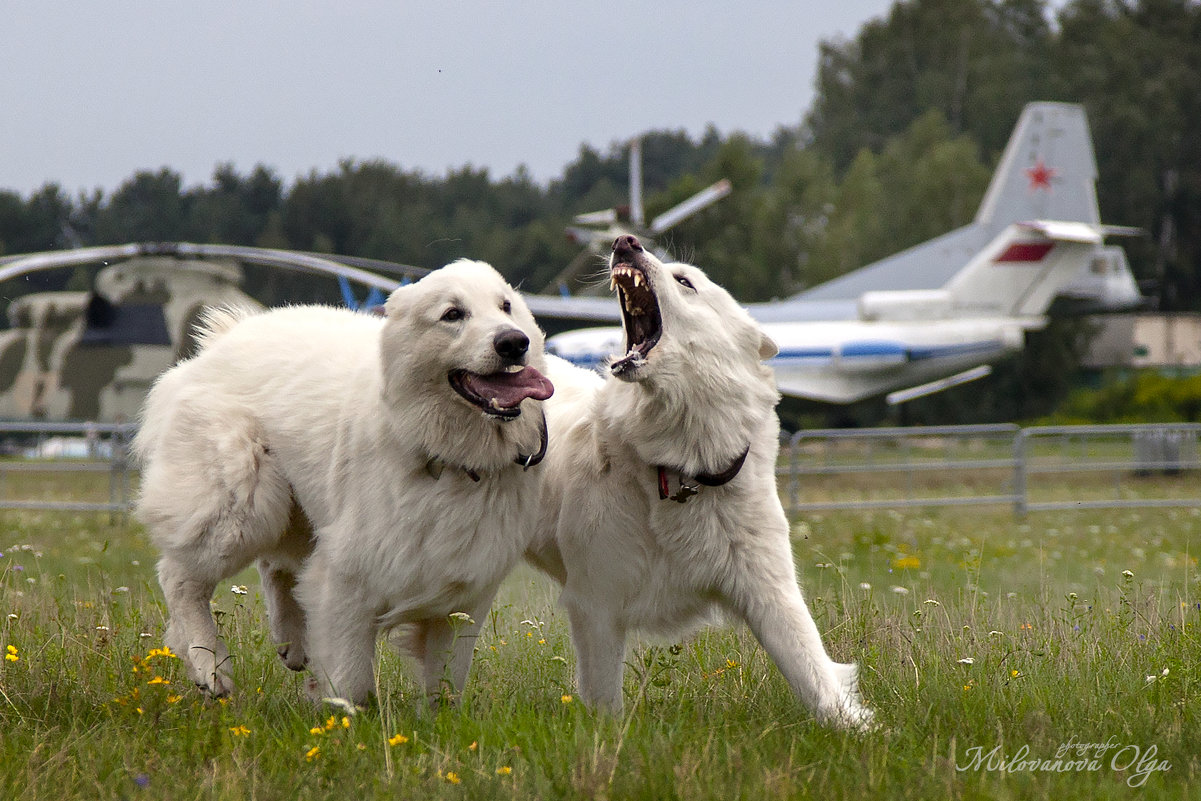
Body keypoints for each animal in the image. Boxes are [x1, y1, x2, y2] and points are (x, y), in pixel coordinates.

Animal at [135, 260, 552, 706]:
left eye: (506, 306)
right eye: (453, 314)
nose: (514, 342)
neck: (441, 453)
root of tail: (223, 337)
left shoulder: (464, 594)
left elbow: (446, 683)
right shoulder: (346, 580)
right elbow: (351, 678)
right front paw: (343, 715)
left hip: (289, 508)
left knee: (274, 566)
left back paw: (291, 642)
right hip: (240, 506)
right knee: (179, 578)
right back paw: (210, 667)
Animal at [526, 235, 874, 730]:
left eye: (684, 281)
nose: (624, 241)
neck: (679, 468)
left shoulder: (770, 593)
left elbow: (814, 675)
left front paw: (860, 732)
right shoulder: (597, 605)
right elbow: (605, 700)